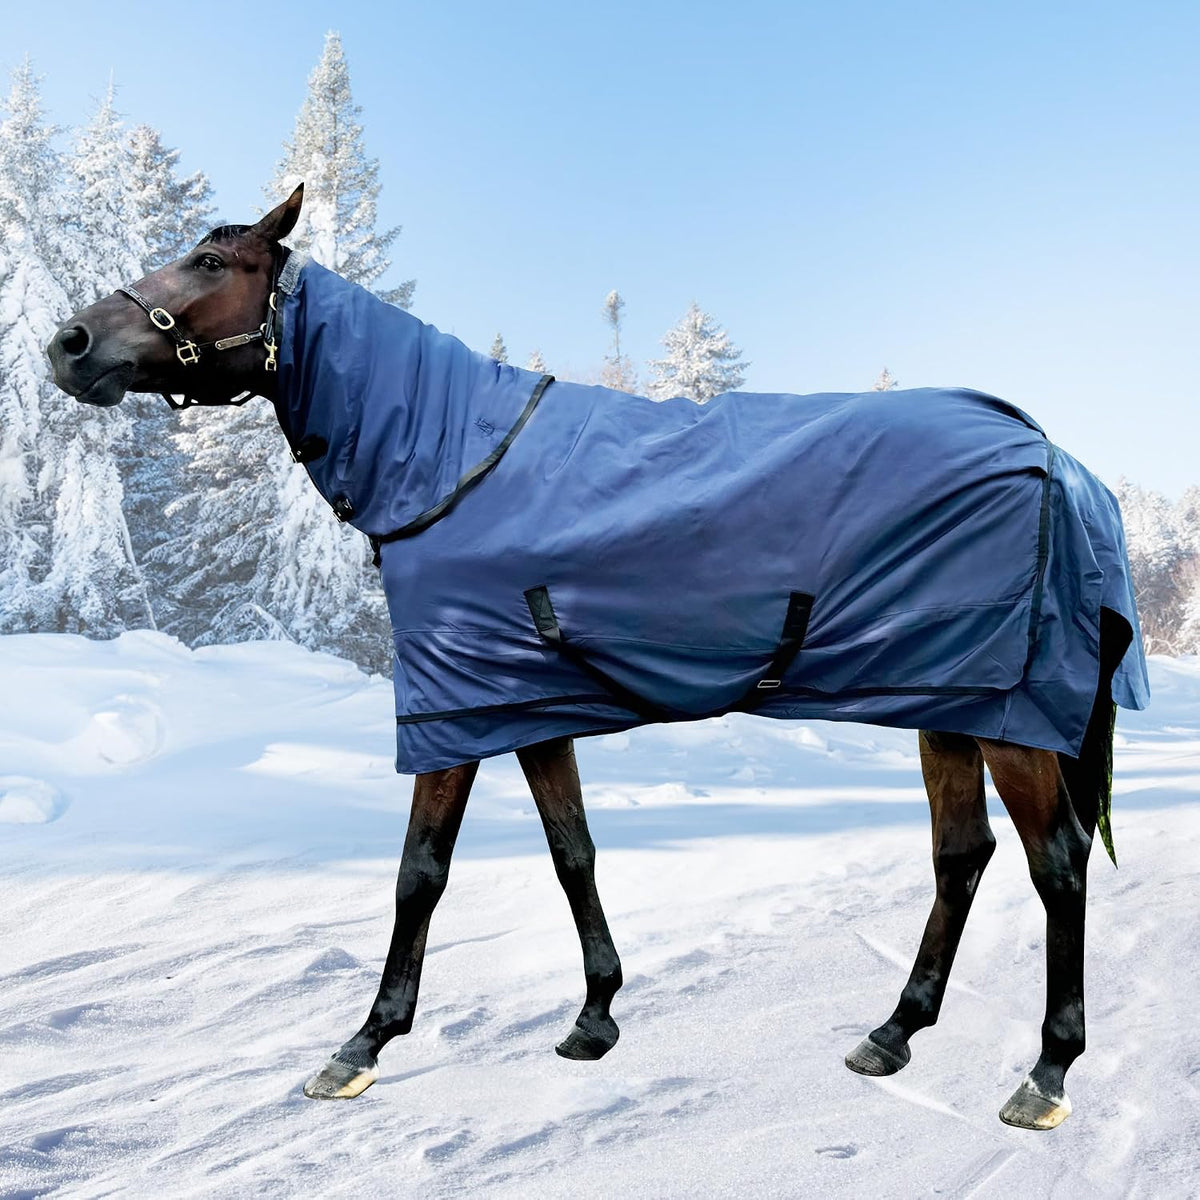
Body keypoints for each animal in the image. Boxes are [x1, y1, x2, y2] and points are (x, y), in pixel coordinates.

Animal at [47, 185, 1148, 1131]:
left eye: (209, 260)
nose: (68, 344)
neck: (453, 460)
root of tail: (1056, 457)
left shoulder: (453, 711)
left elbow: (419, 872)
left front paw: (364, 1043)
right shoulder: (524, 704)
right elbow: (570, 851)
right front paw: (595, 1016)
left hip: (1008, 716)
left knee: (1057, 866)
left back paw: (1046, 1071)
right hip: (949, 699)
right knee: (962, 855)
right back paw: (892, 1032)